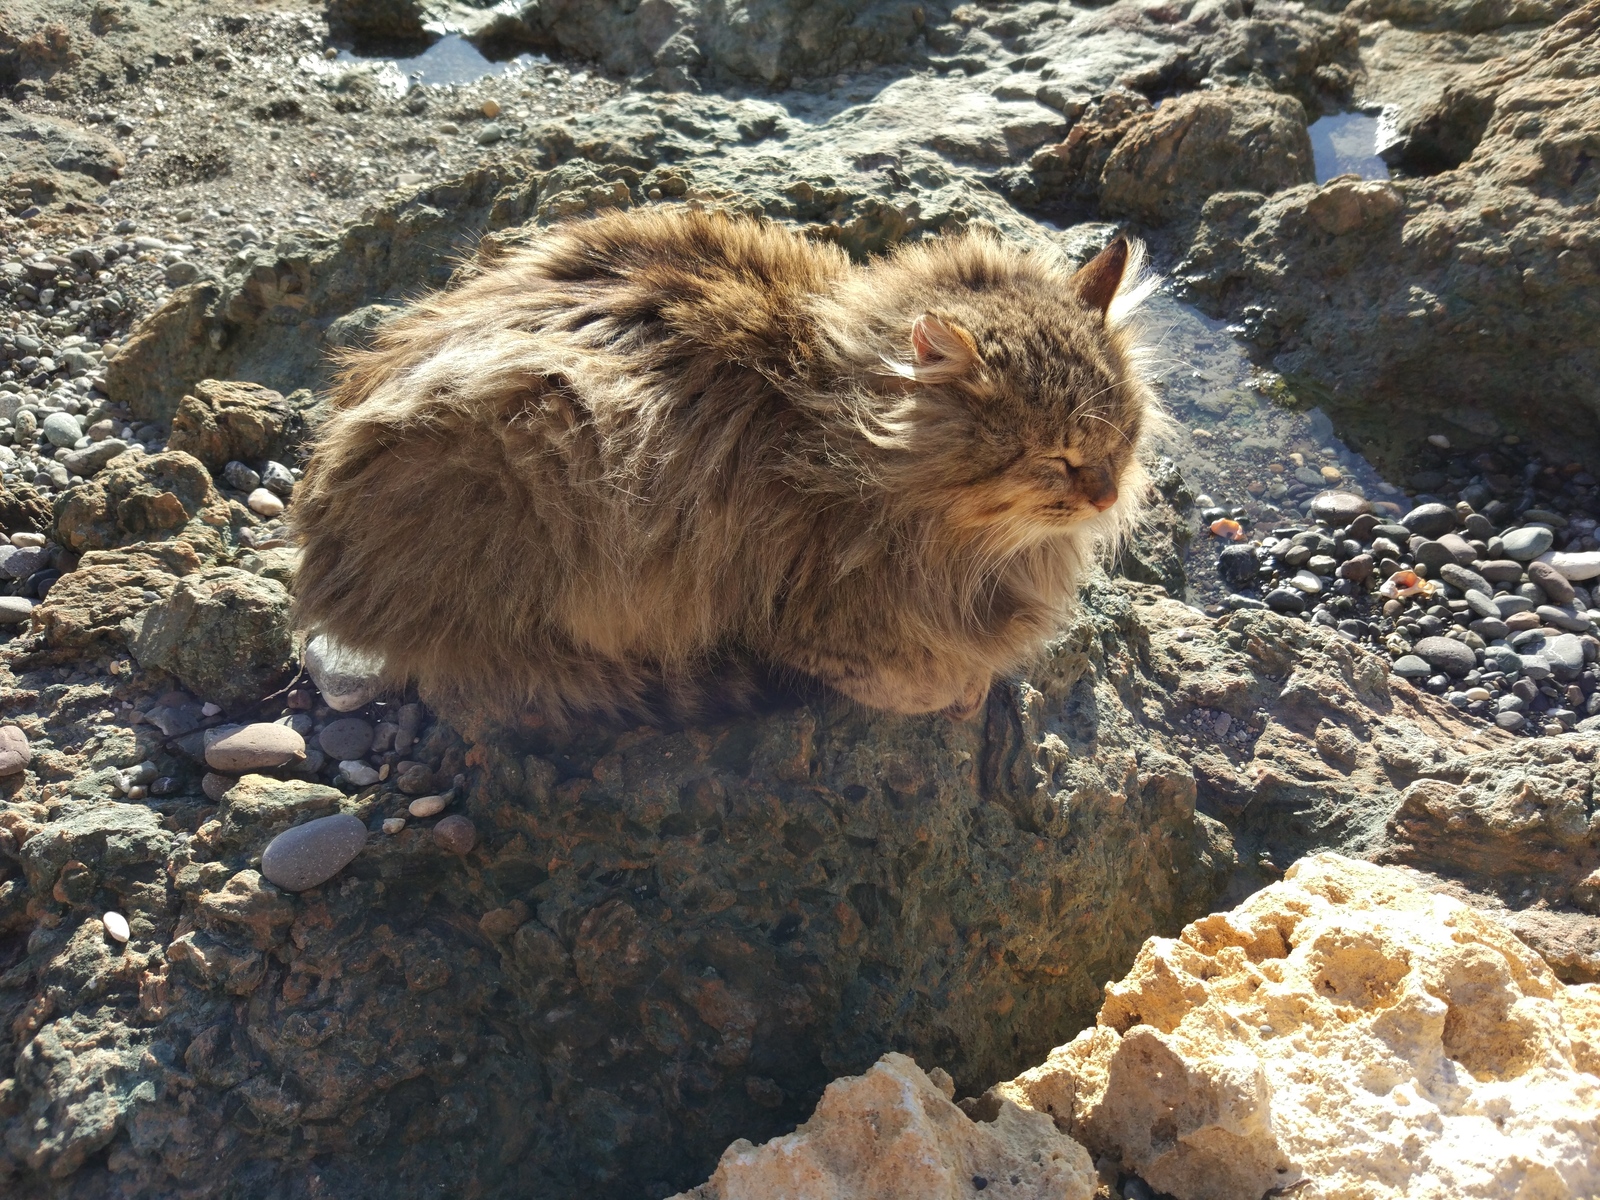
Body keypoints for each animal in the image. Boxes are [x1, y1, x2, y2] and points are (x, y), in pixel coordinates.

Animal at [291, 208, 1164, 729]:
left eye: (1120, 440)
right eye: (1056, 459)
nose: (1105, 494)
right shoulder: (814, 616)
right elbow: (933, 680)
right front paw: (973, 686)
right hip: (544, 440)